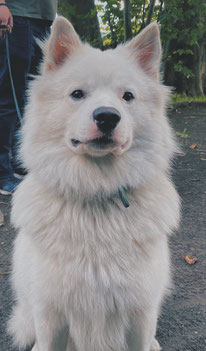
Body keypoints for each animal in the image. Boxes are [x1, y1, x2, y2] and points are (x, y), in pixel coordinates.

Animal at [8, 16, 180, 351]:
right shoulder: (52, 316)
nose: (107, 117)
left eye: (128, 96)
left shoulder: (140, 314)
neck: (98, 195)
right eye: (77, 94)